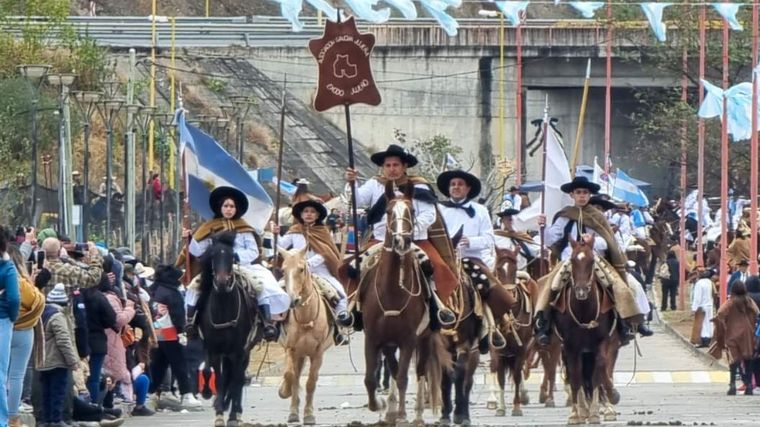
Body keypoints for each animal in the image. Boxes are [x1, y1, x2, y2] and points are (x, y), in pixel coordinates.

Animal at [199, 234, 262, 427]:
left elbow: (235, 380)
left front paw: (233, 414)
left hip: (245, 351)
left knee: (237, 378)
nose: (221, 282)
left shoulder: (238, 351)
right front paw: (218, 411)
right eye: (213, 256)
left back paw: (236, 412)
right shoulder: (214, 350)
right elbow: (216, 377)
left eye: (232, 256)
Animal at [274, 246, 332, 426]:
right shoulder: (291, 349)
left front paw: (309, 415)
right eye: (283, 270)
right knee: (296, 377)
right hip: (299, 355)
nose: (292, 300)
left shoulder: (318, 354)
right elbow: (290, 376)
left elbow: (311, 382)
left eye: (301, 269)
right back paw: (293, 411)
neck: (307, 318)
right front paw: (284, 392)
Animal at [358, 182, 448, 426]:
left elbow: (403, 378)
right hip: (390, 343)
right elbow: (371, 379)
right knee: (394, 368)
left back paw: (416, 414)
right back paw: (391, 411)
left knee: (419, 372)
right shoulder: (373, 338)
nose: (401, 241)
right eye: (388, 212)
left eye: (412, 211)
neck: (392, 292)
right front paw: (379, 406)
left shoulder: (409, 339)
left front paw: (404, 414)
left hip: (424, 339)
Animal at [492, 246, 540, 416]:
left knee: (518, 370)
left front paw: (517, 406)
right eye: (498, 269)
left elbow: (518, 375)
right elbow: (500, 376)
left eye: (514, 270)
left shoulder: (521, 348)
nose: (508, 296)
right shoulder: (497, 350)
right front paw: (500, 407)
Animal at [552, 239, 616, 426]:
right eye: (572, 260)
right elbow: (575, 376)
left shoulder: (602, 343)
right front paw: (575, 414)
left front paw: (595, 413)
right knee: (578, 374)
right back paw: (582, 410)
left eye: (592, 261)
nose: (581, 291)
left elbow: (597, 374)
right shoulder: (570, 347)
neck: (584, 312)